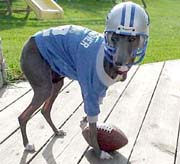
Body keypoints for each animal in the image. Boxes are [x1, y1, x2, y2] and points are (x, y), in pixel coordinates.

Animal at [18, 1, 149, 160]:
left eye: (131, 39)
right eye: (114, 38)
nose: (118, 62)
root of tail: (28, 42)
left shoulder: (99, 93)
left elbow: (90, 117)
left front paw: (85, 121)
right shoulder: (90, 92)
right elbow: (92, 129)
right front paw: (99, 152)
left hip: (56, 83)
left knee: (45, 110)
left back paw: (56, 131)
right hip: (44, 88)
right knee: (23, 117)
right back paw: (27, 144)